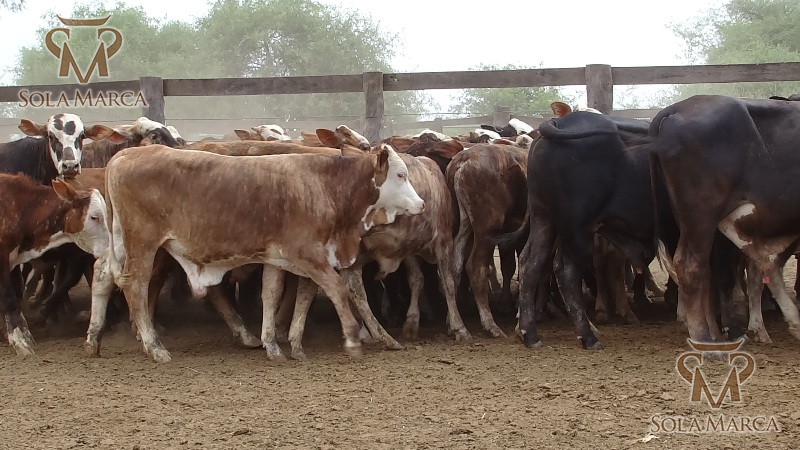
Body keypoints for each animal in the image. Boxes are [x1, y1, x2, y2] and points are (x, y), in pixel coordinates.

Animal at [0, 174, 108, 355]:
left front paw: (26, 335)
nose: (110, 245)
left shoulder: (13, 260)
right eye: (94, 217)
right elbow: (9, 298)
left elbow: (17, 295)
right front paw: (19, 342)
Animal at [85, 143, 424, 363]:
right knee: (136, 286)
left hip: (121, 242)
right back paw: (154, 347)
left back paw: (94, 340)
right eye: (400, 175)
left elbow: (272, 294)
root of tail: (125, 154)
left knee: (103, 275)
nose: (421, 204)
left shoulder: (276, 257)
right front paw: (352, 339)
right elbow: (338, 289)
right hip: (143, 244)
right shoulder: (308, 255)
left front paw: (273, 345)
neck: (323, 186)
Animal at [649, 94, 800, 344]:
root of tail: (676, 108)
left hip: (692, 223)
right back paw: (704, 339)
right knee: (691, 268)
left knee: (705, 273)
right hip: (701, 218)